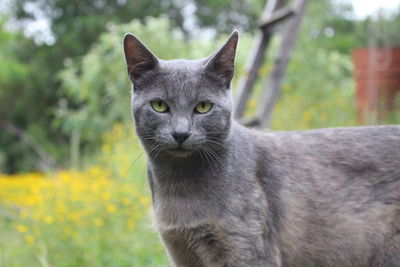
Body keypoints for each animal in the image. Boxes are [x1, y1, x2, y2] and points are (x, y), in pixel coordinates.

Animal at [122, 30, 400, 266]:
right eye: (159, 105)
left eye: (203, 107)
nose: (181, 133)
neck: (180, 188)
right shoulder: (183, 253)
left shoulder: (248, 251)